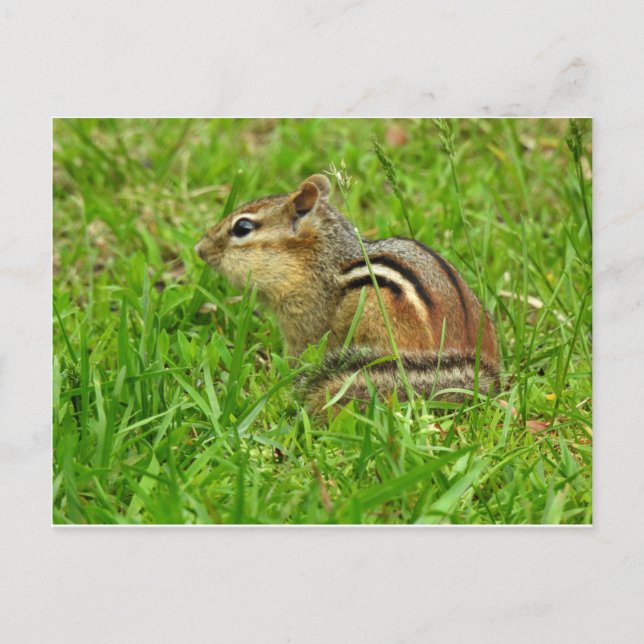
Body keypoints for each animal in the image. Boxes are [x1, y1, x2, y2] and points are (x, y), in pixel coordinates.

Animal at [195, 173, 500, 411]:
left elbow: (297, 356)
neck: (316, 259)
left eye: (242, 227)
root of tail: (475, 366)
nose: (200, 249)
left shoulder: (303, 322)